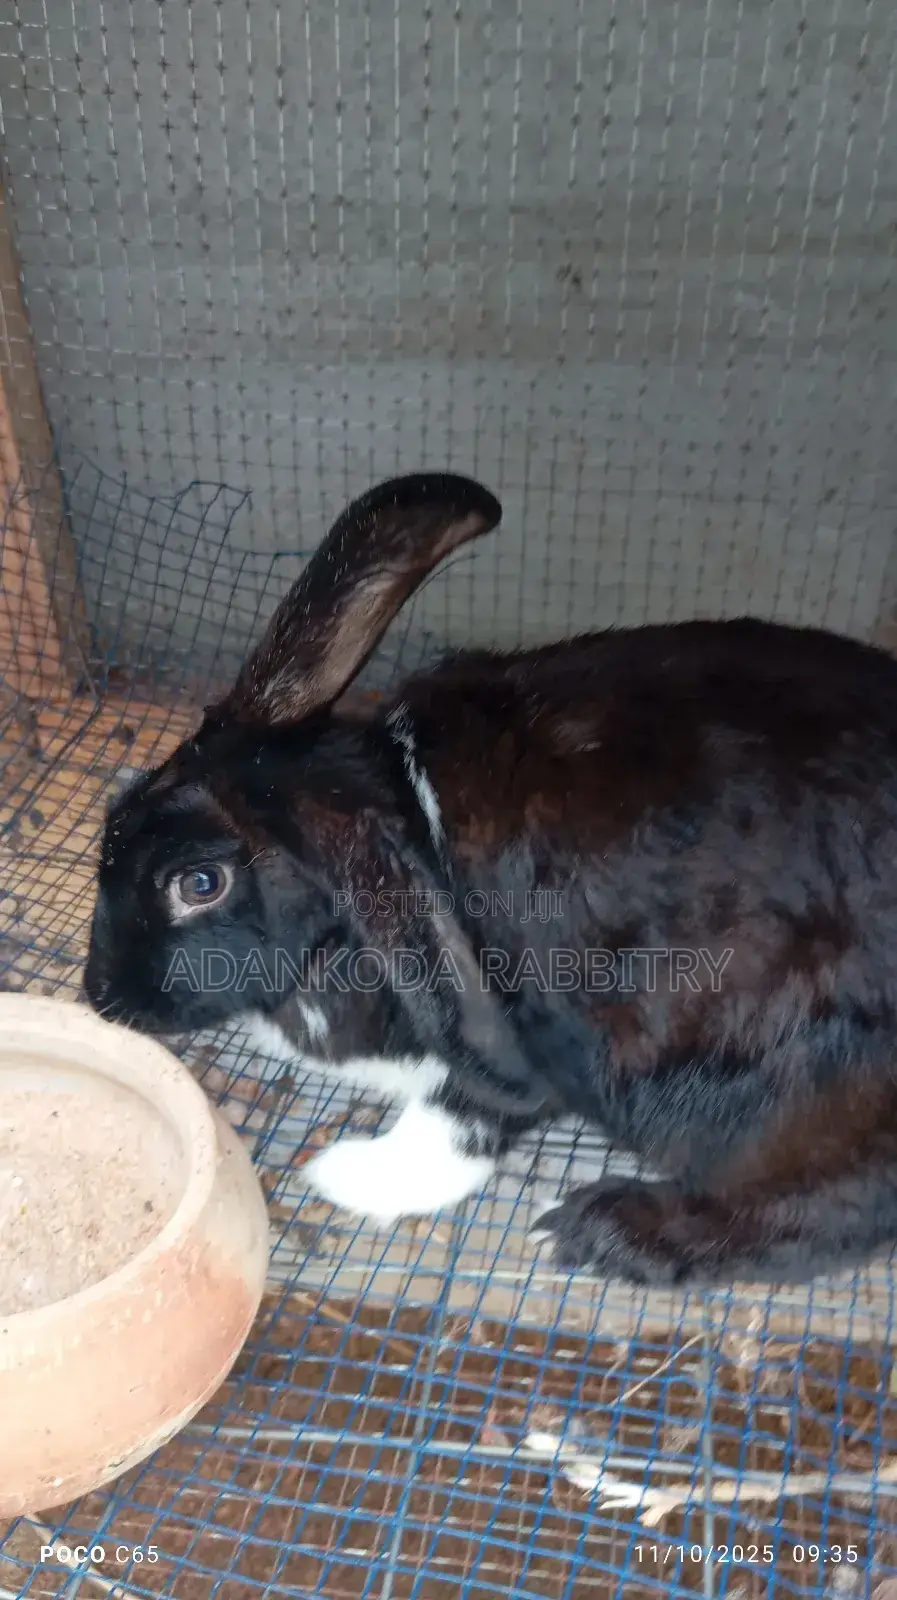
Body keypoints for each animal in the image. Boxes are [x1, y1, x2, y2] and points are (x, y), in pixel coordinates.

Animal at [83, 469, 897, 1289]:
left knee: (827, 1211)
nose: (101, 997)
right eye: (112, 818)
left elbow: (462, 1117)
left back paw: (598, 1229)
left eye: (198, 884)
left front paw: (346, 1176)